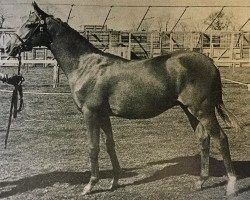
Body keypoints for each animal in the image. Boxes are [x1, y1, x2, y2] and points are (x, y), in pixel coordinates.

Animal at [5, 1, 240, 195]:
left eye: (29, 24)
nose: (9, 47)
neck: (86, 65)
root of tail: (211, 63)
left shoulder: (91, 114)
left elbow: (93, 147)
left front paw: (90, 185)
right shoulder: (103, 115)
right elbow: (110, 144)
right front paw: (114, 181)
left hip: (203, 110)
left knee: (221, 139)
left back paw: (231, 184)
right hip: (190, 111)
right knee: (203, 139)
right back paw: (201, 181)